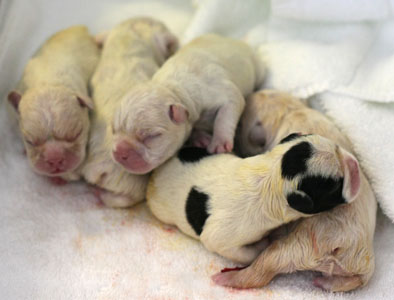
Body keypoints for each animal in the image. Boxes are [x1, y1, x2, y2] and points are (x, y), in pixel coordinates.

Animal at [111, 34, 264, 176]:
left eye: (151, 136)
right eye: (114, 130)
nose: (119, 152)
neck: (172, 88)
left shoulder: (223, 93)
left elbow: (225, 116)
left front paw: (219, 143)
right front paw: (199, 138)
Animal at [147, 134, 360, 264]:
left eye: (337, 146)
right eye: (333, 186)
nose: (355, 165)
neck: (272, 176)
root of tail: (155, 172)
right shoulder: (221, 238)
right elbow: (243, 253)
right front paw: (264, 244)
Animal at [214, 90, 378, 292]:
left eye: (242, 123)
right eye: (269, 92)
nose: (255, 92)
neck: (288, 110)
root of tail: (340, 246)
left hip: (299, 247)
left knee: (265, 267)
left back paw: (228, 278)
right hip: (361, 265)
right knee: (354, 280)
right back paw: (324, 283)